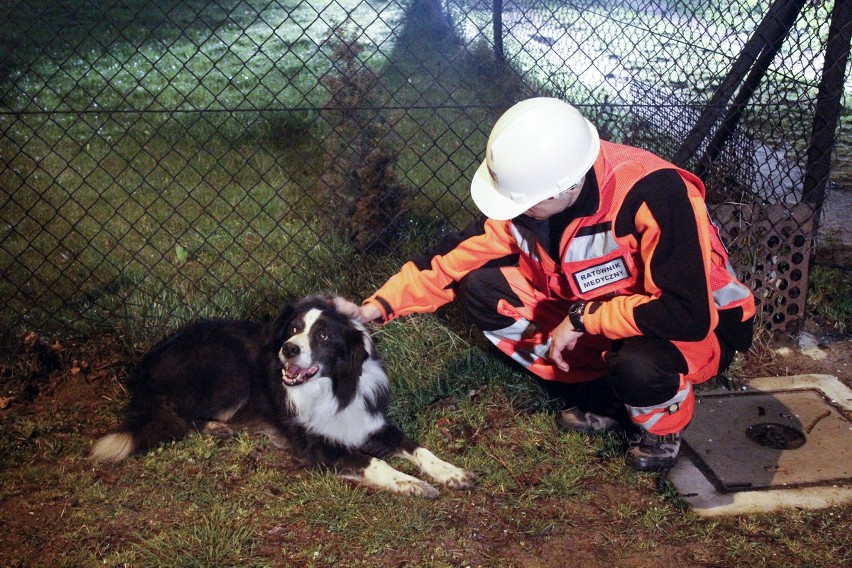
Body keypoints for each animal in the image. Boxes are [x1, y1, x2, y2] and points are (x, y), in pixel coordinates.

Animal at [94, 296, 480, 500]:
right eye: (293, 329)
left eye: (323, 335)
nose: (288, 349)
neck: (332, 388)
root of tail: (148, 359)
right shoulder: (317, 446)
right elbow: (375, 462)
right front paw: (410, 482)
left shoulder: (369, 421)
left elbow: (420, 449)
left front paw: (449, 472)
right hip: (231, 371)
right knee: (179, 412)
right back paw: (217, 427)